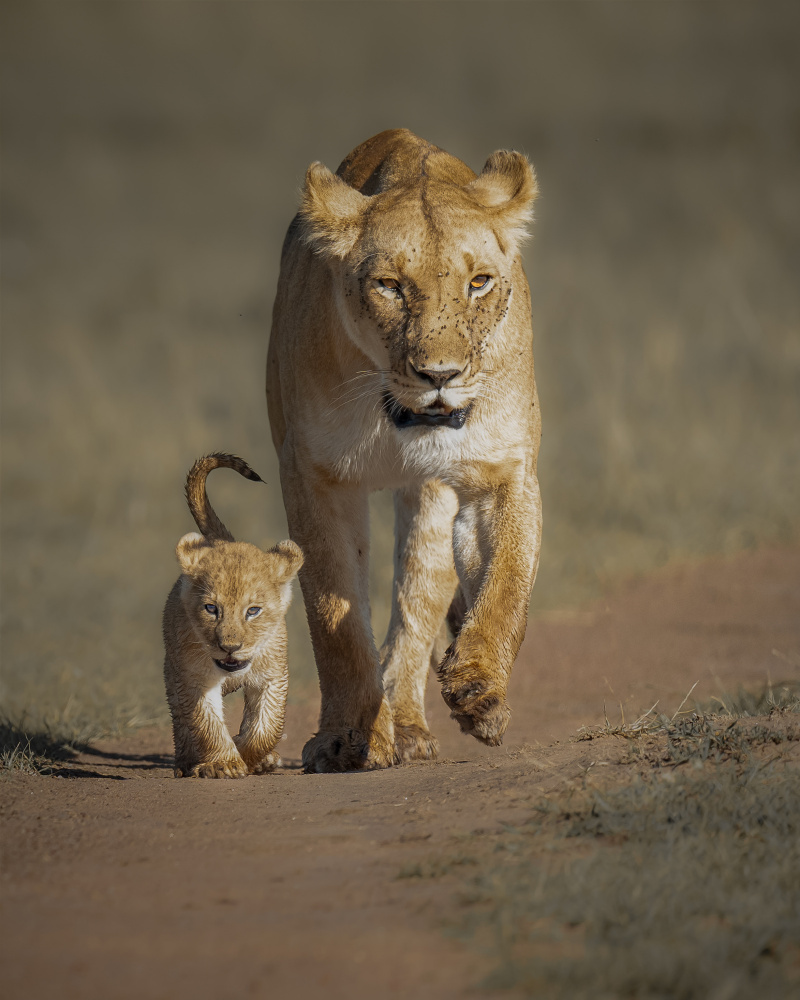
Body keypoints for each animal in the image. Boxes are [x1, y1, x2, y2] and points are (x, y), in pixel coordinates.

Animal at [162, 453, 303, 778]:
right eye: (211, 609)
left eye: (253, 611)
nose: (230, 647)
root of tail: (221, 541)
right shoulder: (194, 678)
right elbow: (206, 723)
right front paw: (223, 764)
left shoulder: (272, 676)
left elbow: (266, 727)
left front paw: (250, 755)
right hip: (171, 669)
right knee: (180, 720)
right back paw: (185, 762)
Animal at [267, 129, 542, 773]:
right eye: (389, 286)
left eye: (478, 282)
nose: (439, 375)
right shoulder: (313, 474)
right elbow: (334, 613)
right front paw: (346, 737)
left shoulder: (502, 468)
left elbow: (507, 583)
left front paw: (478, 687)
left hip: (430, 493)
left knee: (420, 594)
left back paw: (415, 725)